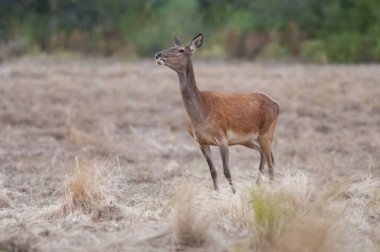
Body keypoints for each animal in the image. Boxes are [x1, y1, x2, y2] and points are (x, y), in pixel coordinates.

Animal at [154, 33, 280, 193]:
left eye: (181, 50)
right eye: (172, 46)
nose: (158, 54)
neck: (201, 114)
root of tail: (276, 104)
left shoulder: (222, 138)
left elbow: (227, 171)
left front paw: (234, 194)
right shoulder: (201, 141)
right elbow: (213, 171)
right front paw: (217, 193)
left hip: (267, 132)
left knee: (271, 162)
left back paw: (271, 189)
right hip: (248, 139)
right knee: (264, 155)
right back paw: (258, 185)